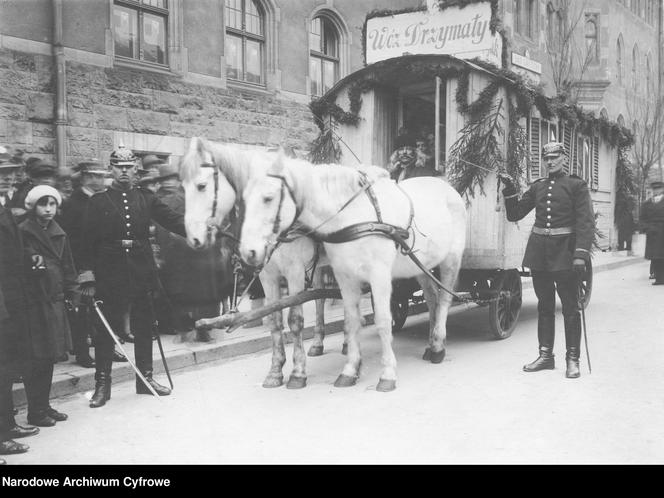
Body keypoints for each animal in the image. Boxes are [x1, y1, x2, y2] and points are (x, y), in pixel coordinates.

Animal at [183, 137, 344, 390]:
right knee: (321, 301)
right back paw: (318, 343)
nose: (194, 239)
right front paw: (275, 370)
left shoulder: (294, 272)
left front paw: (298, 372)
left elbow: (295, 320)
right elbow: (274, 320)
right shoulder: (267, 275)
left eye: (201, 186)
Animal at [239, 154, 466, 392]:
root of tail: (446, 186)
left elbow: (382, 320)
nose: (249, 251)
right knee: (432, 300)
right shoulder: (340, 277)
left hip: (451, 259)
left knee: (444, 300)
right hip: (420, 265)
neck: (352, 215)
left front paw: (387, 374)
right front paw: (348, 370)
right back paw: (430, 344)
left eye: (268, 198)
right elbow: (349, 320)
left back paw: (438, 346)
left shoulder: (374, 275)